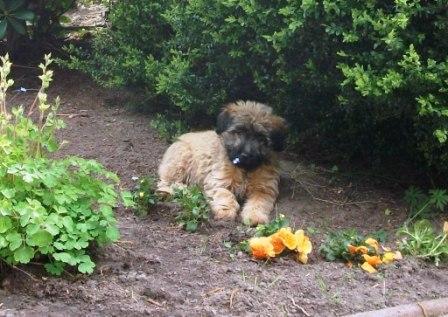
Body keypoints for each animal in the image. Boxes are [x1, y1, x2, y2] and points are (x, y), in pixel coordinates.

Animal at [157, 100, 288, 225]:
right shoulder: (219, 180)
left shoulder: (264, 189)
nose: (245, 155)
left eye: (260, 137)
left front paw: (255, 216)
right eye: (239, 132)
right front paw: (226, 211)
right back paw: (179, 190)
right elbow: (226, 194)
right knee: (166, 182)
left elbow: (258, 202)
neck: (245, 169)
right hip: (181, 159)